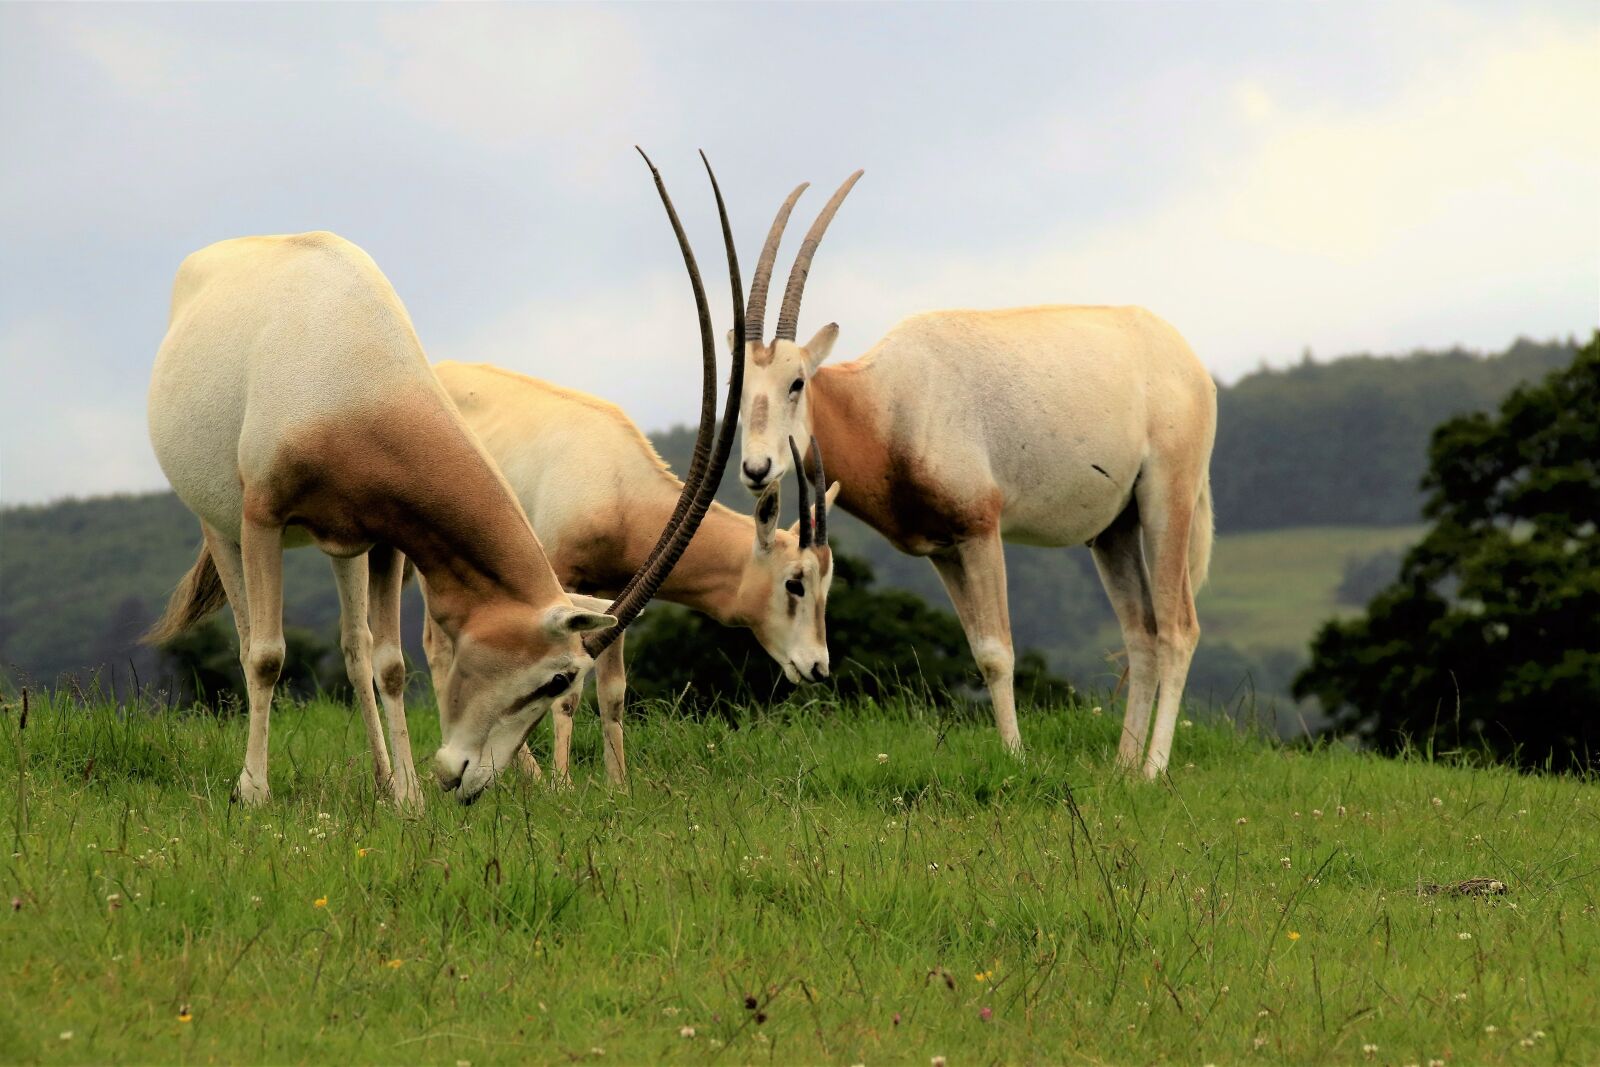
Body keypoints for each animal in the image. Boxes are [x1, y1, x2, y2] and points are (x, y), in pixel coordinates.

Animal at [143, 150, 747, 806]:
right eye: (557, 676)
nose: (469, 780)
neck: (358, 383)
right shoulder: (266, 516)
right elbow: (268, 657)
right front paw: (254, 793)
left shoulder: (383, 539)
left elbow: (390, 663)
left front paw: (407, 797)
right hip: (225, 525)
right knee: (250, 634)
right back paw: (257, 779)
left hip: (342, 547)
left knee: (355, 649)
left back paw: (381, 777)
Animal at [419, 360, 837, 785]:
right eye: (794, 582)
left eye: (826, 585)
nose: (818, 667)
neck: (618, 486)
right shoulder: (563, 588)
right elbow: (566, 693)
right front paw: (561, 785)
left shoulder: (612, 595)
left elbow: (613, 692)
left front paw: (618, 785)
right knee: (438, 649)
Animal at [736, 176, 1217, 778]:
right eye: (738, 385)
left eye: (797, 381)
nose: (756, 469)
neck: (889, 402)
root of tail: (1189, 362)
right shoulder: (944, 549)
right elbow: (978, 649)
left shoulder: (981, 531)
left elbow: (996, 652)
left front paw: (1015, 759)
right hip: (1114, 529)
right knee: (1142, 633)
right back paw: (1121, 771)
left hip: (1165, 499)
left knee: (1178, 630)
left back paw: (1151, 772)